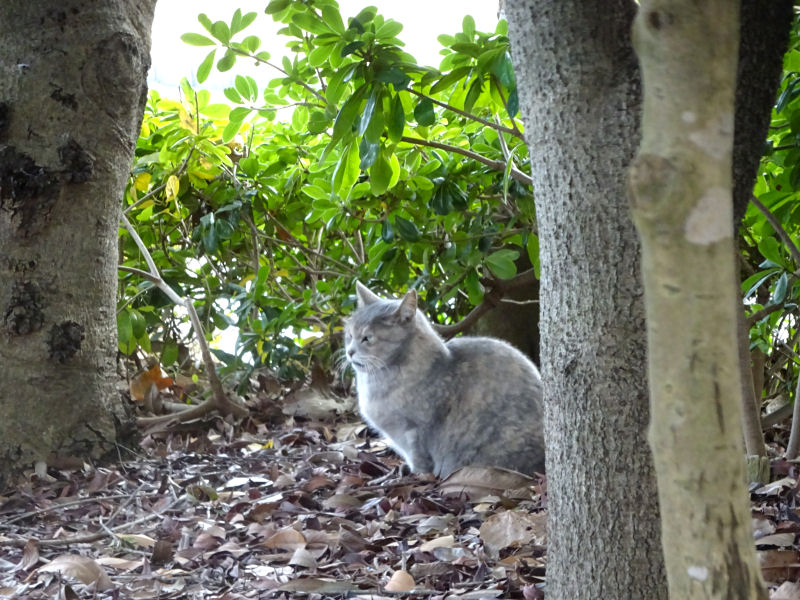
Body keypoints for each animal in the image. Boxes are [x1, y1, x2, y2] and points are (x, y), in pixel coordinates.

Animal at [343, 281, 545, 477]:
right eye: (350, 335)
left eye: (367, 338)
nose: (349, 351)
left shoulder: (415, 432)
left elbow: (420, 460)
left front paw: (416, 475)